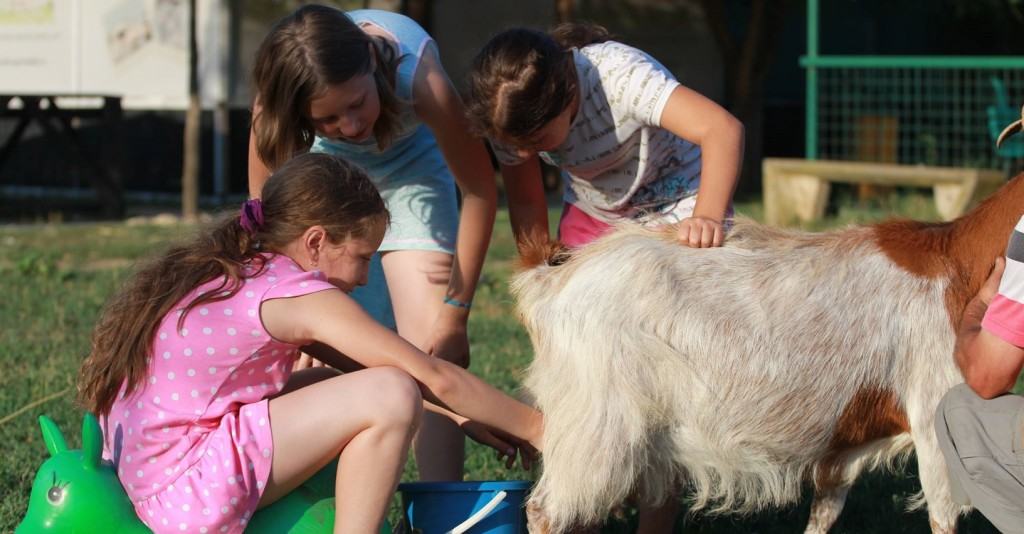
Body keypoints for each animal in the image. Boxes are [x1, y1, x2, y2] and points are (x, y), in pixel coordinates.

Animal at [516, 174, 1024, 528]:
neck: (956, 264)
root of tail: (549, 279)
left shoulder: (845, 446)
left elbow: (824, 513)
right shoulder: (933, 416)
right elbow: (942, 516)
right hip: (596, 424)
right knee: (547, 509)